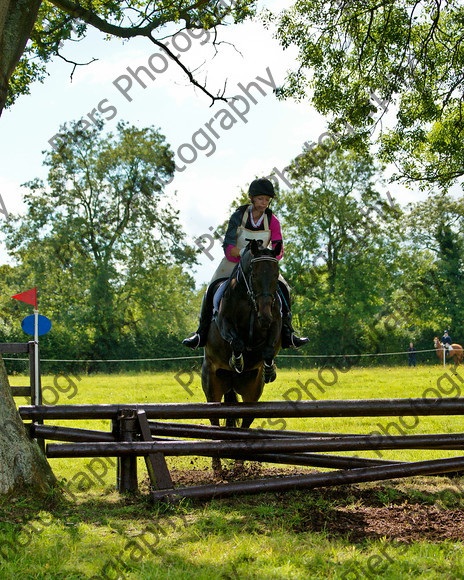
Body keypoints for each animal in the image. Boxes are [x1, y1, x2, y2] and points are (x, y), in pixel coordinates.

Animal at [202, 239, 282, 466]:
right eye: (254, 274)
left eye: (276, 274)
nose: (264, 316)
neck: (250, 301)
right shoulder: (224, 322)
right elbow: (236, 342)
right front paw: (237, 362)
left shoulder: (276, 323)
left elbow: (268, 347)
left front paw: (269, 369)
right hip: (212, 384)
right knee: (214, 421)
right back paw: (218, 466)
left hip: (252, 392)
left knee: (246, 420)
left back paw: (239, 462)